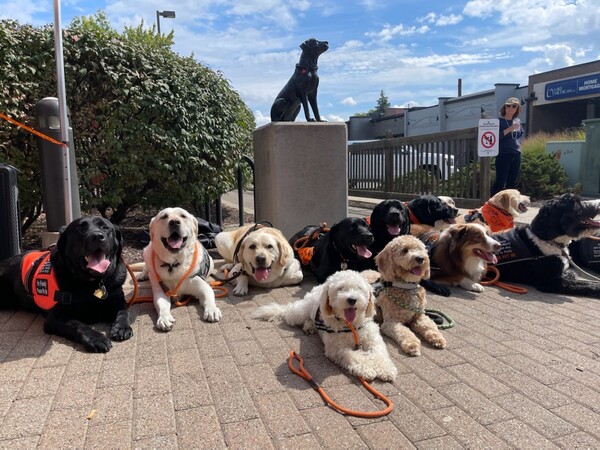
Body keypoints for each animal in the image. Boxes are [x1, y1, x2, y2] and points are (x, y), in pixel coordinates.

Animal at [0, 216, 132, 354]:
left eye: (105, 227)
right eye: (80, 229)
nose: (97, 236)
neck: (93, 282)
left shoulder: (118, 300)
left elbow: (124, 311)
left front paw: (121, 327)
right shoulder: (55, 317)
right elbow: (78, 325)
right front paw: (96, 338)